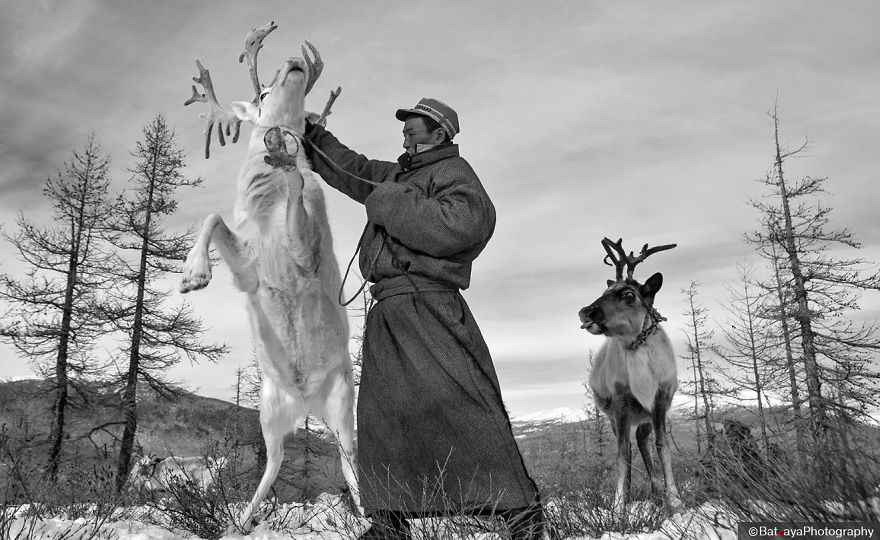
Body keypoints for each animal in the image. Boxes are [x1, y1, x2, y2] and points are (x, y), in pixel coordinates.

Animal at [178, 22, 359, 531]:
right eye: (261, 92)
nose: (294, 64)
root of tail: (305, 400)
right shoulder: (248, 265)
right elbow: (212, 217)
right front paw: (192, 278)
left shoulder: (309, 251)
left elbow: (299, 198)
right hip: (269, 409)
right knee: (274, 461)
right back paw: (240, 521)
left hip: (343, 404)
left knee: (348, 464)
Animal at [578, 237, 683, 525]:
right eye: (605, 291)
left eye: (628, 295)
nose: (585, 311)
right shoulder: (621, 403)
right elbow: (622, 455)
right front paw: (618, 509)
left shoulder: (659, 401)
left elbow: (662, 446)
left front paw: (675, 501)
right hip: (615, 416)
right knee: (628, 446)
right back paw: (631, 494)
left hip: (644, 416)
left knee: (643, 441)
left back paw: (657, 492)